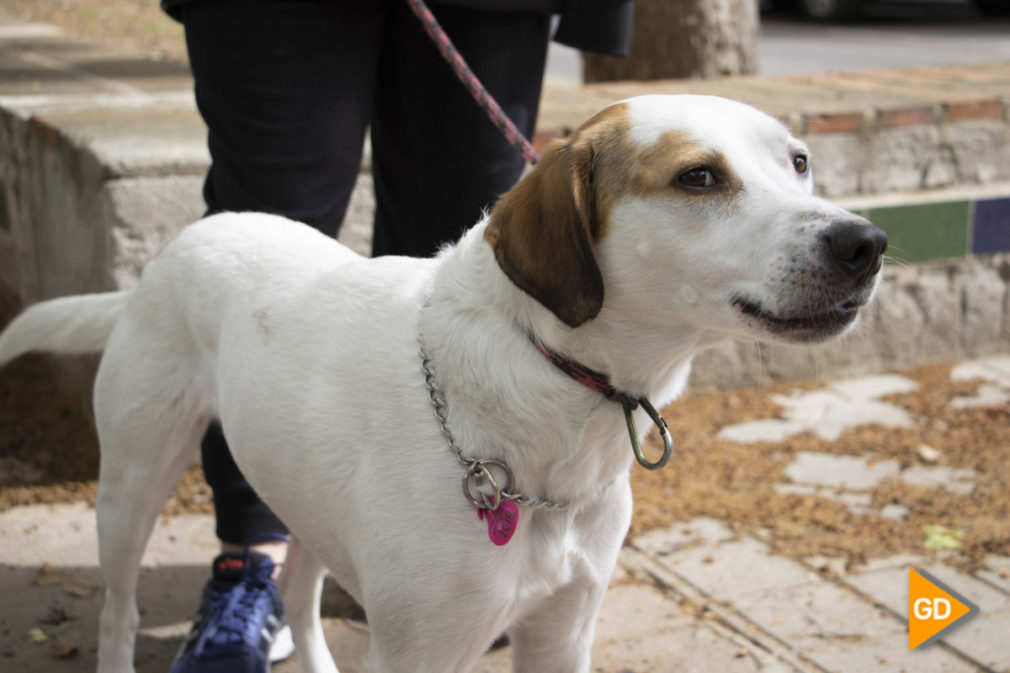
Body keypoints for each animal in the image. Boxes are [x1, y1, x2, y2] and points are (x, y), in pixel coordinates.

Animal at [0, 95, 884, 670]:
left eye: (799, 162)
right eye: (698, 177)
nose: (866, 243)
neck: (551, 394)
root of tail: (182, 241)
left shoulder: (563, 632)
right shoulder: (424, 648)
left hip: (306, 497)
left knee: (299, 590)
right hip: (131, 488)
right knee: (118, 612)